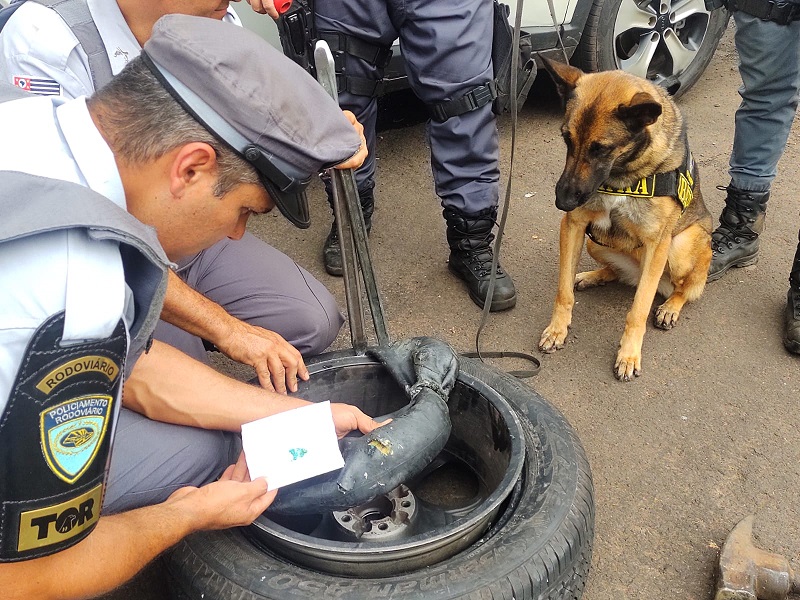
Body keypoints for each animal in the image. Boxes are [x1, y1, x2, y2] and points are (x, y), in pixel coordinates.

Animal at [536, 58, 712, 382]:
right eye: (567, 139)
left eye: (601, 149)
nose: (563, 202)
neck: (622, 174)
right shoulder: (574, 227)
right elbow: (563, 291)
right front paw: (557, 330)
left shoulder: (658, 244)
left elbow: (639, 309)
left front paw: (629, 355)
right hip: (595, 241)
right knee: (617, 272)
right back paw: (592, 276)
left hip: (680, 248)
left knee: (683, 288)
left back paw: (670, 306)